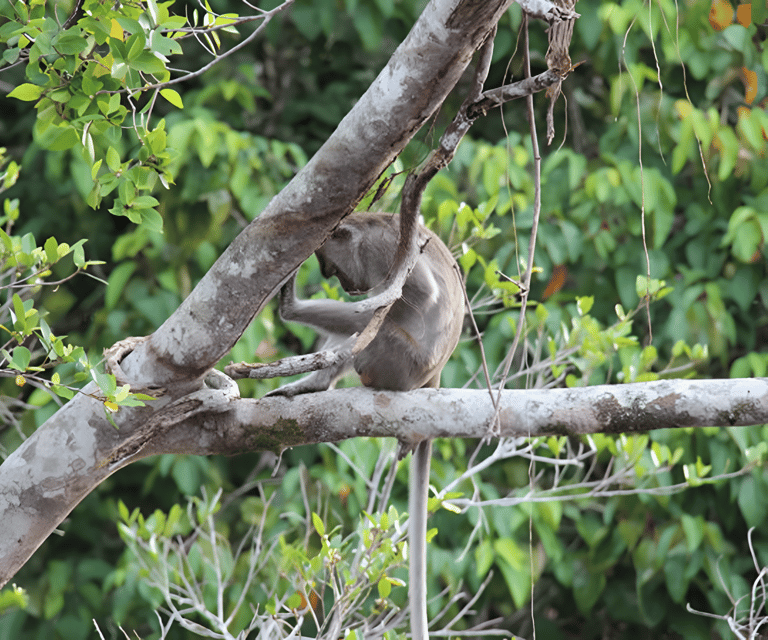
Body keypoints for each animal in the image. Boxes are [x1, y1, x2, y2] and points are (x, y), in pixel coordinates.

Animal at [270, 212, 462, 636]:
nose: (346, 285)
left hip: (397, 364)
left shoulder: (384, 252)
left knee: (376, 330)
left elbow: (417, 294)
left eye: (331, 267)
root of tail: (431, 378)